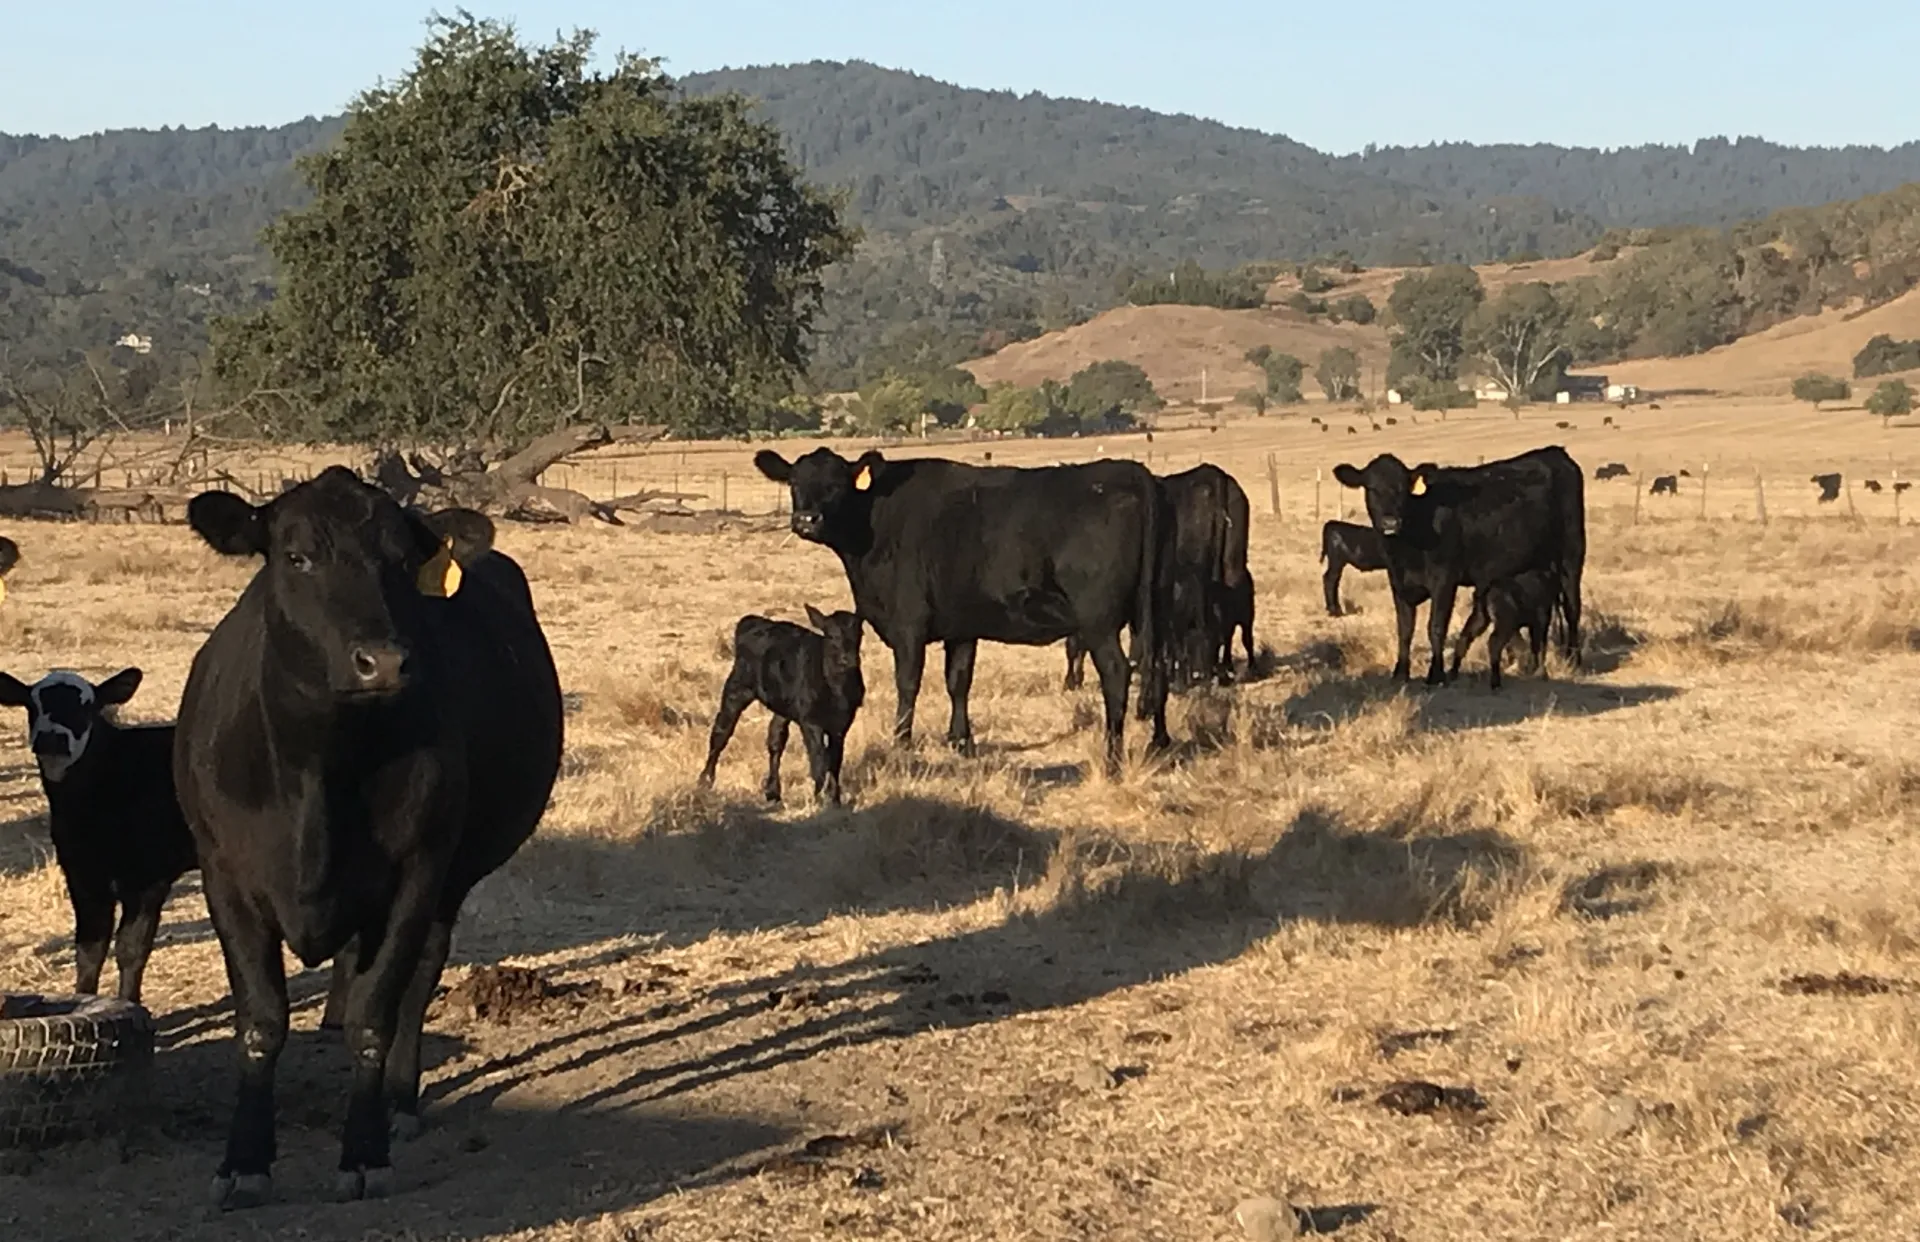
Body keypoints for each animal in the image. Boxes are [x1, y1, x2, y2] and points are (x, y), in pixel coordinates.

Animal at [0, 667, 195, 1003]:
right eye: (31, 704)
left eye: (86, 707)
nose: (52, 737)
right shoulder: (82, 874)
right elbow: (89, 949)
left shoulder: (148, 879)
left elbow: (131, 948)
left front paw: (129, 1003)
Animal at [174, 466, 563, 1207]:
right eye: (296, 556)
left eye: (402, 561)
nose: (382, 662)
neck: (320, 772)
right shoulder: (223, 875)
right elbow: (261, 1021)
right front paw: (243, 1161)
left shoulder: (418, 870)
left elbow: (375, 1013)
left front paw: (363, 1151)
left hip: (447, 880)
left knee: (419, 974)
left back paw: (400, 1103)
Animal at [699, 606, 864, 806]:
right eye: (831, 635)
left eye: (859, 634)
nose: (848, 659)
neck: (837, 688)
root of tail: (754, 620)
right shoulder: (810, 721)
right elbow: (819, 759)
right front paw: (819, 798)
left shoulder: (842, 723)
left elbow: (835, 760)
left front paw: (835, 799)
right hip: (737, 687)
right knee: (721, 732)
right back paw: (705, 780)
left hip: (782, 707)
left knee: (775, 739)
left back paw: (773, 791)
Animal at [754, 448, 1171, 775]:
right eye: (794, 482)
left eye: (837, 484)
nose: (807, 520)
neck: (875, 523)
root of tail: (1126, 470)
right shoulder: (962, 625)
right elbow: (958, 680)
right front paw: (960, 741)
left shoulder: (908, 624)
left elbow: (908, 683)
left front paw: (901, 742)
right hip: (1154, 613)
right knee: (1157, 668)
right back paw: (1157, 744)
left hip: (1099, 621)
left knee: (1116, 674)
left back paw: (1113, 759)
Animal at [1333, 447, 1585, 686]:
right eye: (1371, 488)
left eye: (1403, 488)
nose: (1390, 523)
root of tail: (1556, 453)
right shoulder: (1398, 580)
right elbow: (1405, 629)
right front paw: (1400, 673)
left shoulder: (1444, 579)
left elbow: (1436, 627)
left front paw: (1435, 675)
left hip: (1571, 557)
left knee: (1572, 609)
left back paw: (1574, 660)